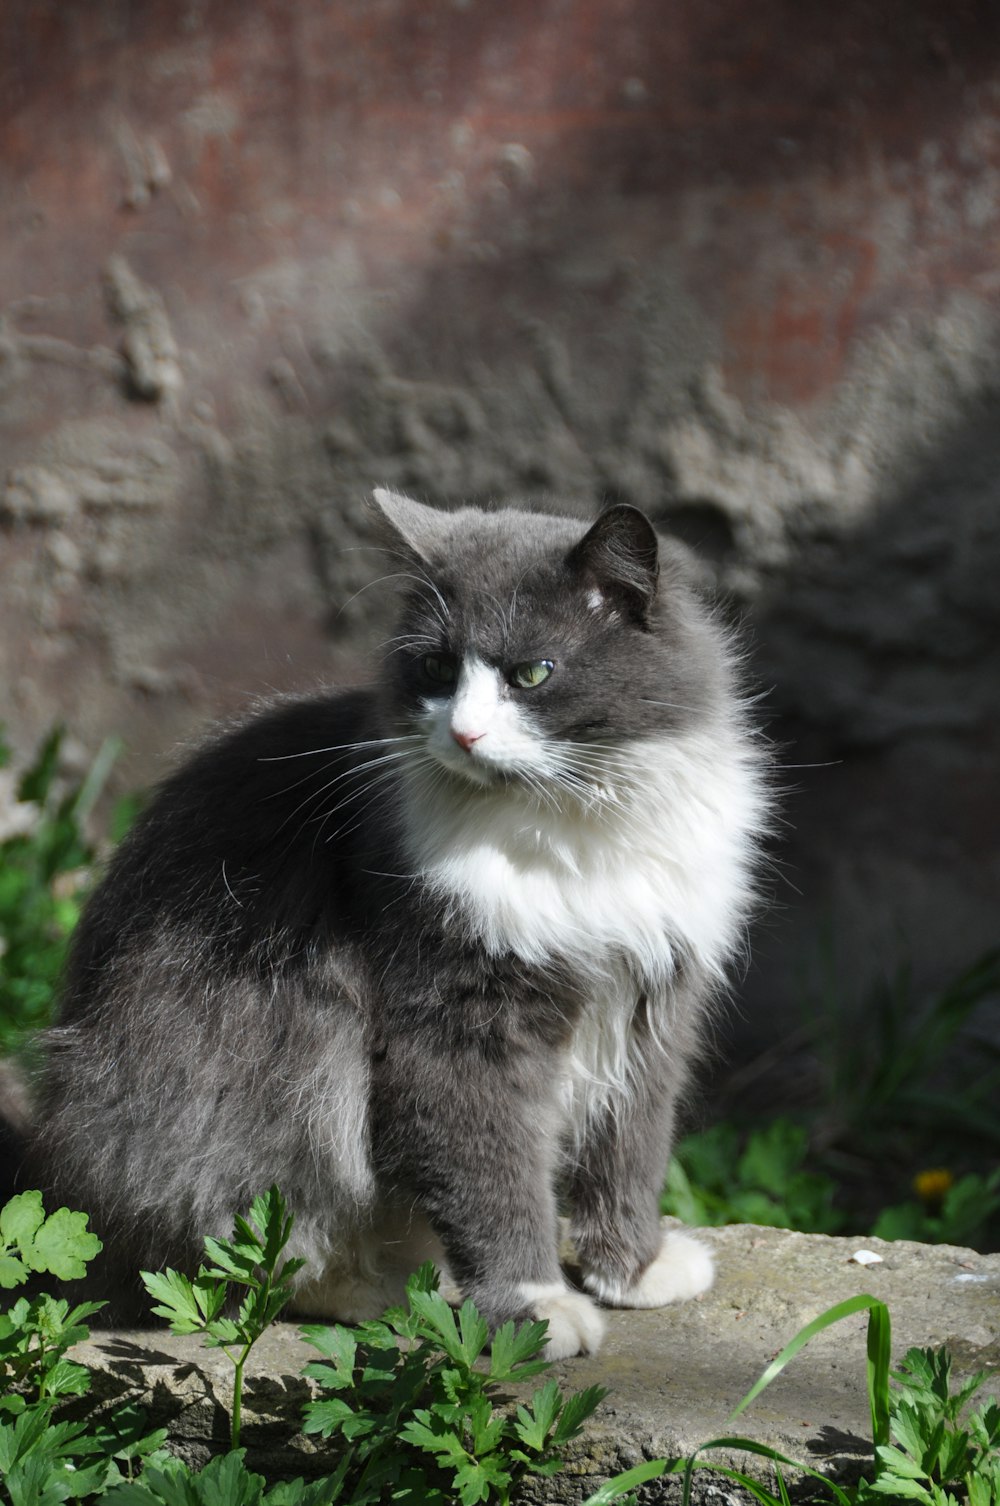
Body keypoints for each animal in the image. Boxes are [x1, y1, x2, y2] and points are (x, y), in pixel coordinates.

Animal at [29, 487, 765, 1361]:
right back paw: (383, 1289)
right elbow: (494, 1179)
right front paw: (533, 1310)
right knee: (253, 1254)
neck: (573, 826)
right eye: (438, 670)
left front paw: (635, 1270)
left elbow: (630, 1154)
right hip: (263, 1079)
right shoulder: (457, 1021)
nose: (465, 733)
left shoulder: (653, 1001)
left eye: (533, 673)